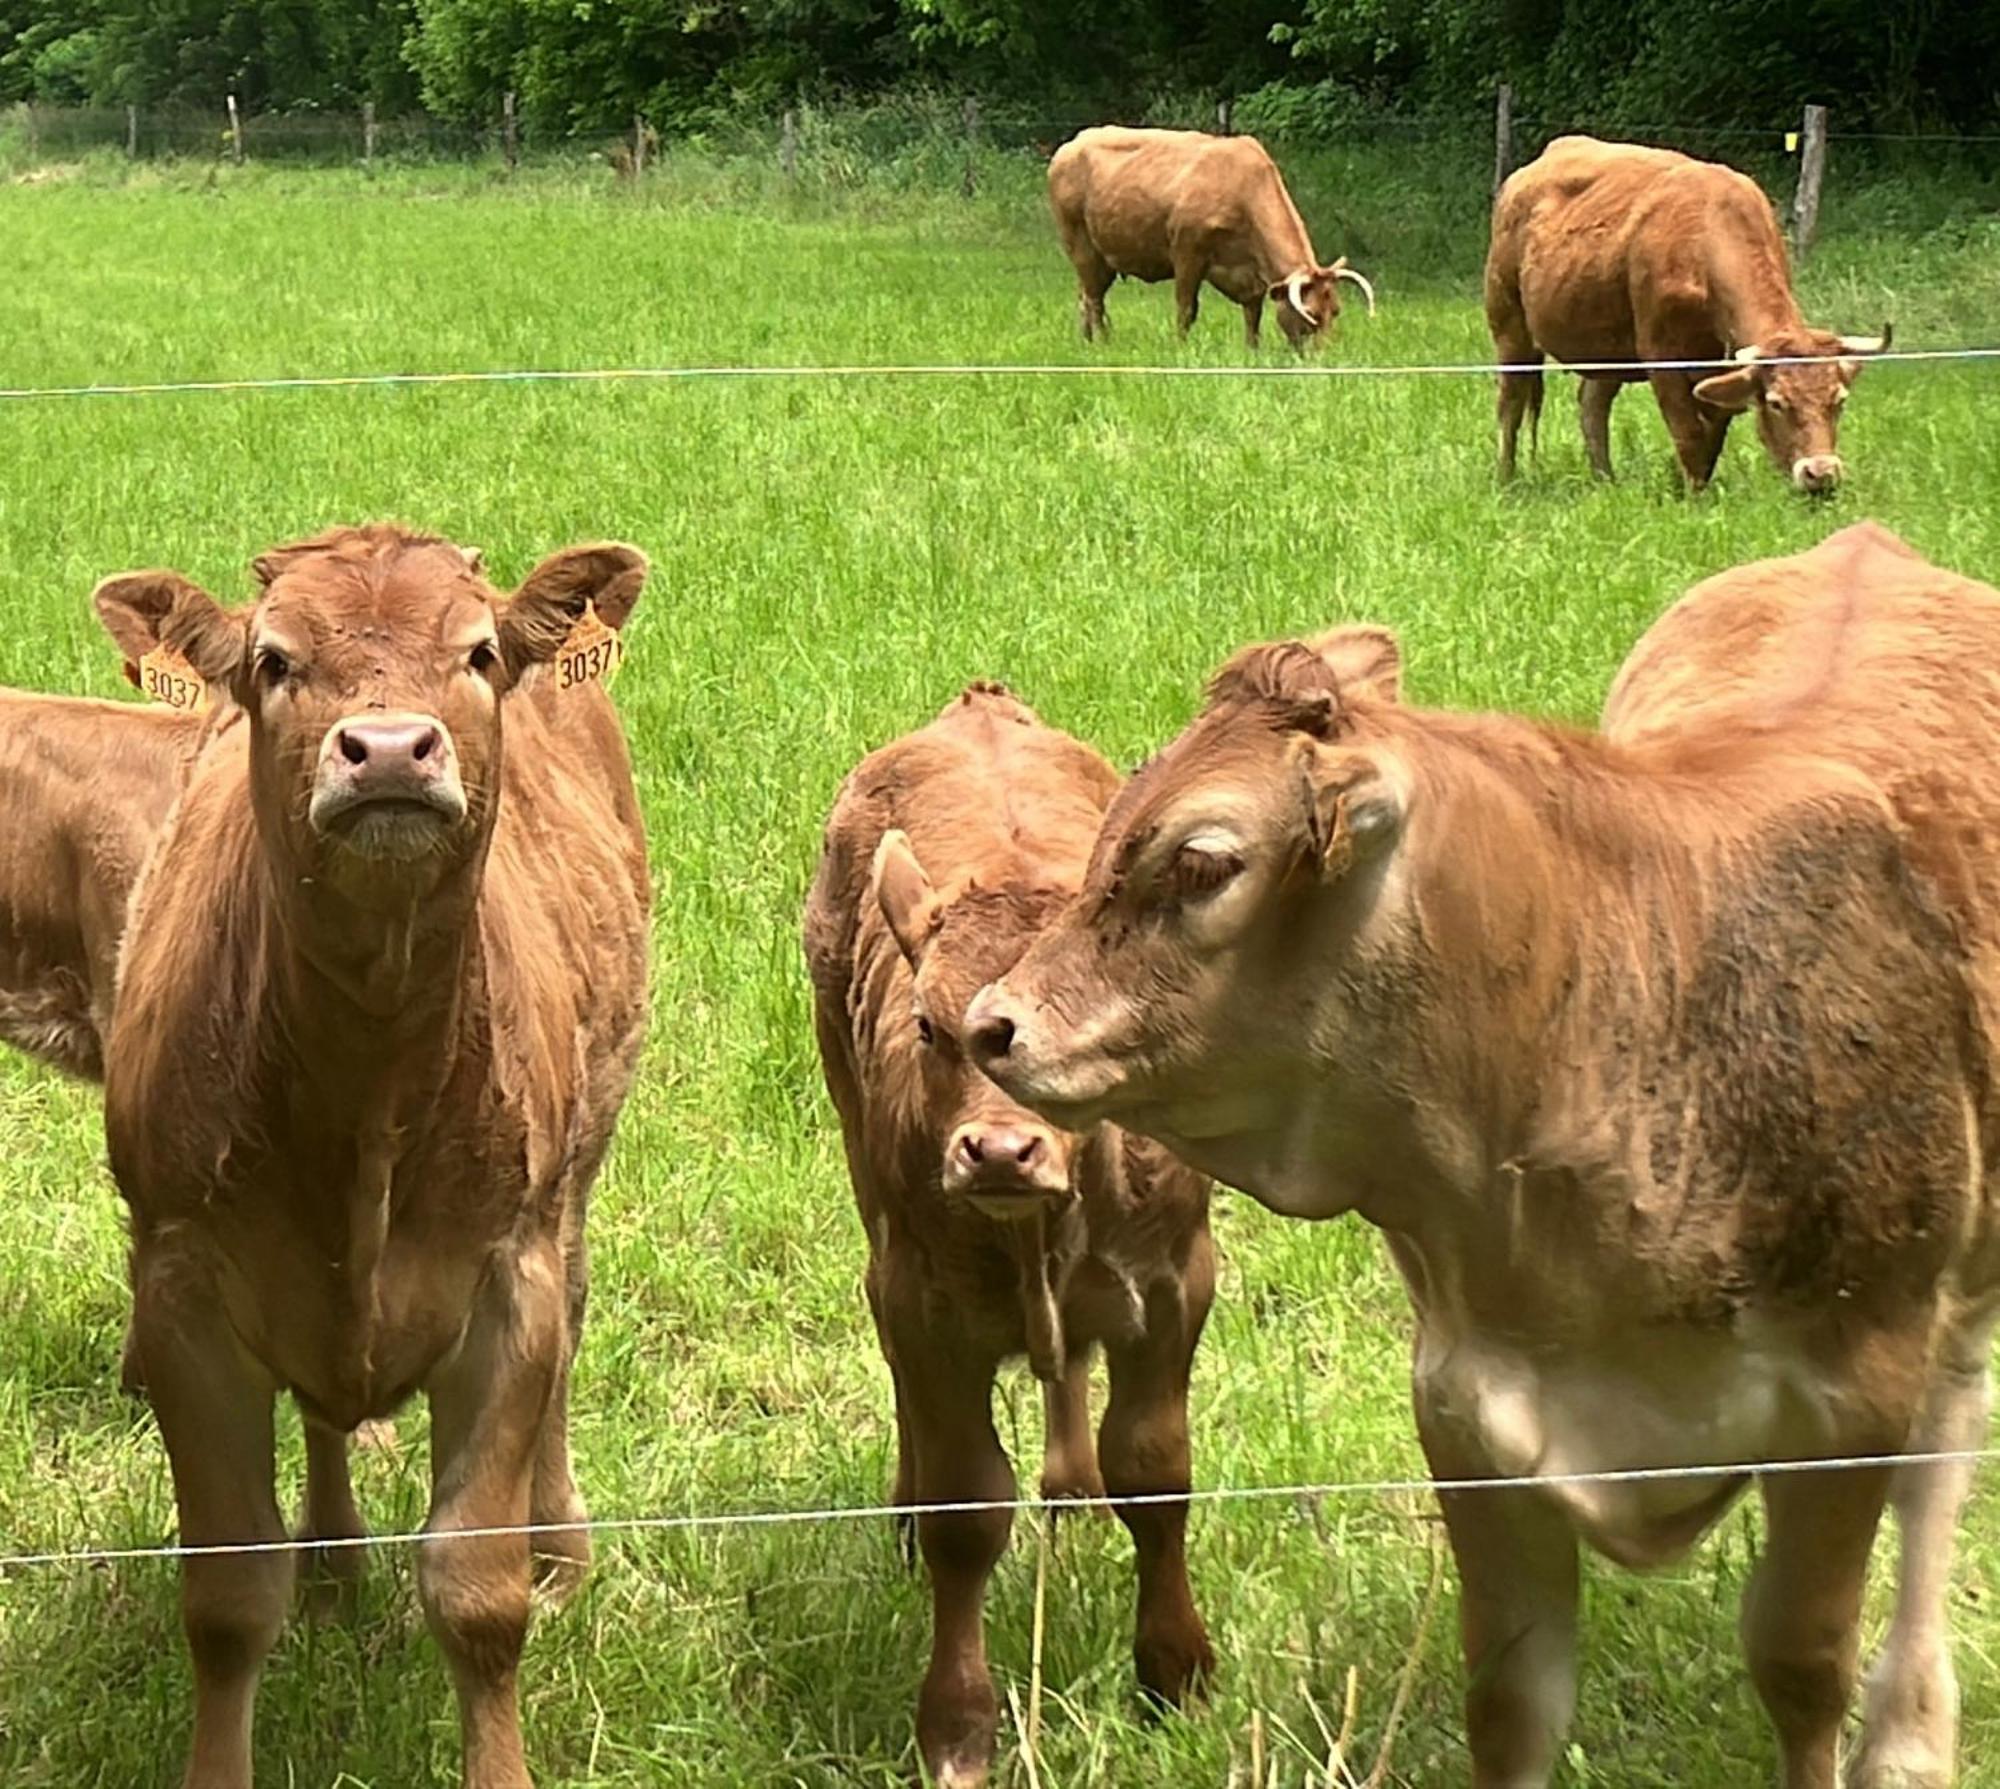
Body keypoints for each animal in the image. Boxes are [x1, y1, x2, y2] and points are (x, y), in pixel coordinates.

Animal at [94, 520, 648, 1789]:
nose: (389, 748)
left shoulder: (504, 1278)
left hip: (578, 1169)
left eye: (480, 651)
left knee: (573, 1314)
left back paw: (561, 1545)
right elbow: (228, 1597)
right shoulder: (182, 1290)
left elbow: (478, 1590)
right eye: (273, 661)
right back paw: (336, 1565)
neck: (371, 1086)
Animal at [800, 680, 1208, 1784]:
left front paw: (1175, 1673)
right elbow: (964, 1507)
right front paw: (956, 1726)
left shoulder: (1174, 1285)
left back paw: (1069, 1487)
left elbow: (1152, 1471)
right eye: (927, 1026)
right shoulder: (926, 1305)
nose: (997, 1152)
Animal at [968, 524, 2000, 1784]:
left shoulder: (1847, 1404)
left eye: (1203, 861)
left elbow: (1800, 1664)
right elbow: (1510, 1695)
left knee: (1940, 1467)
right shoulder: (1469, 1413)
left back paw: (1907, 1736)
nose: (990, 1023)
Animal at [1048, 124, 1376, 348]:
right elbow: (1186, 308)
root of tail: (1072, 144)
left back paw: (1088, 341)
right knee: (1094, 300)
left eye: (1335, 310)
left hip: (1102, 258)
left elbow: (1253, 313)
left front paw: (1252, 350)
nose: (1325, 358)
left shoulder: (1252, 275)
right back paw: (1103, 343)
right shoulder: (1187, 253)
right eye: (1310, 316)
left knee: (1086, 296)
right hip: (1081, 246)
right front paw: (1181, 348)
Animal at [1488, 136, 1888, 494]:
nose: (1820, 474)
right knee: (1511, 402)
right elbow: (1688, 433)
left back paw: (1605, 480)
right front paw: (1694, 498)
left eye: (1839, 400)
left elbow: (1712, 433)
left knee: (1592, 404)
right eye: (1777, 403)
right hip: (1509, 325)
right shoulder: (1661, 358)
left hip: (1607, 345)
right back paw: (1507, 480)